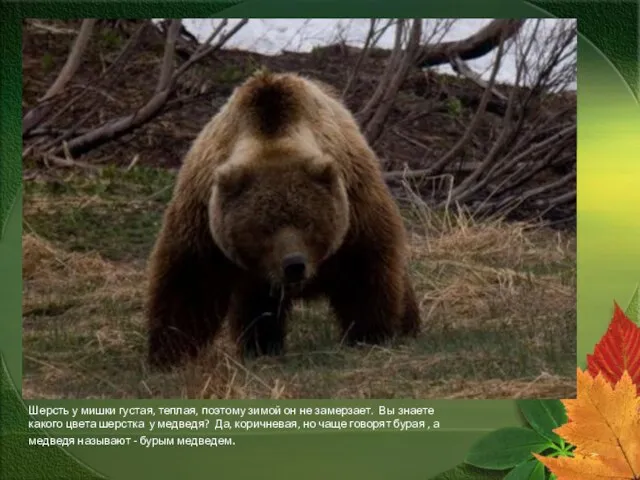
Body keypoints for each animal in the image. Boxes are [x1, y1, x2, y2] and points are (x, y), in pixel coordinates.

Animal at [148, 69, 422, 370]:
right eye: (263, 228)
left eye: (308, 222)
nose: (294, 265)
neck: (271, 136)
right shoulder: (204, 216)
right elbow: (190, 281)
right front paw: (169, 352)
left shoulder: (354, 206)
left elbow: (365, 269)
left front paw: (370, 333)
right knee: (256, 307)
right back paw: (261, 346)